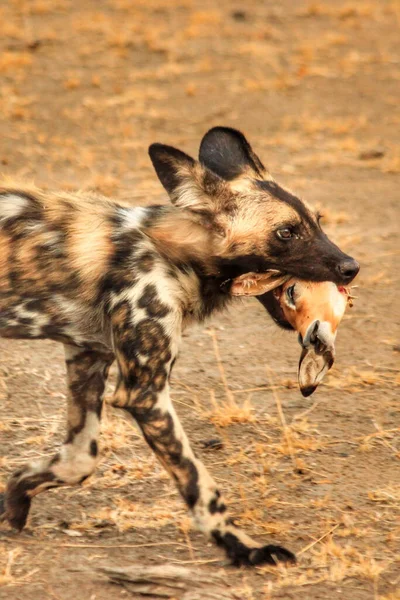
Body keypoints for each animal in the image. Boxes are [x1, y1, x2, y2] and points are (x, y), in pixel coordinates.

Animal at [0, 127, 358, 568]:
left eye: (317, 222)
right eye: (287, 233)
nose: (351, 267)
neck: (173, 253)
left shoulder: (88, 355)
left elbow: (78, 460)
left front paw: (15, 500)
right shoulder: (145, 394)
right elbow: (201, 487)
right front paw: (245, 548)